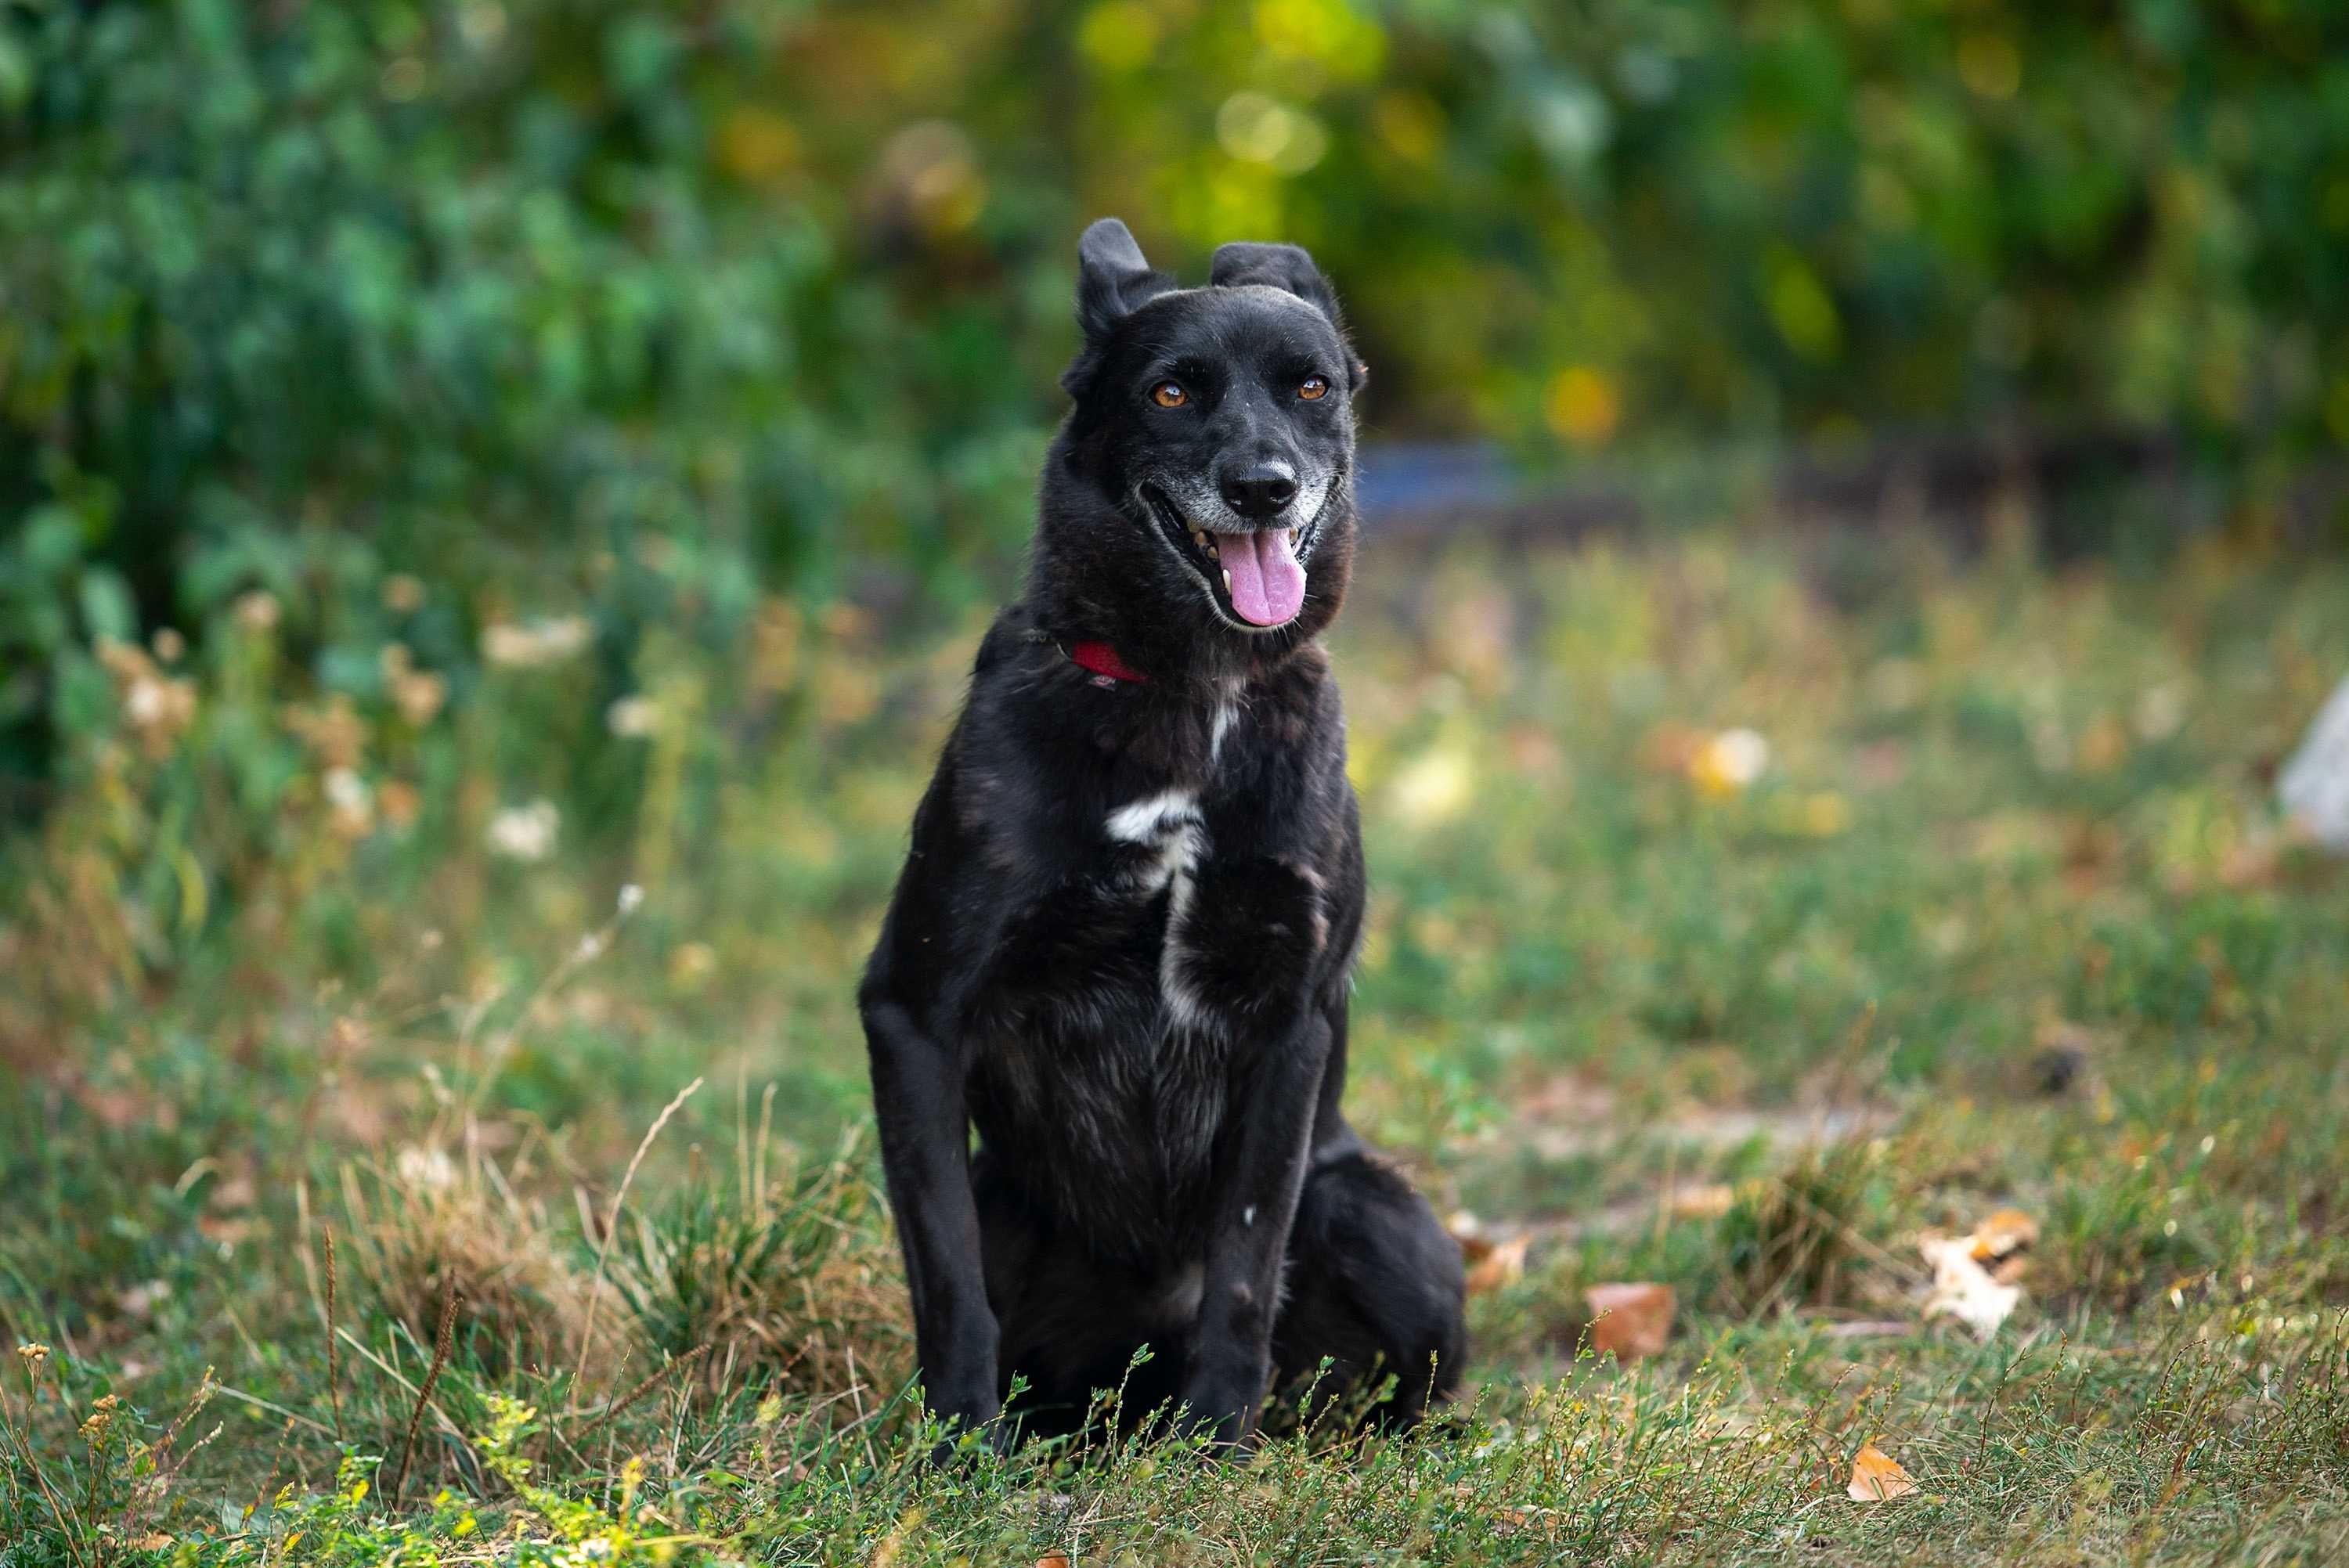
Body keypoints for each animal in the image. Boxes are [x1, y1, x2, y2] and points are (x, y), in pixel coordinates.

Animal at [855, 217, 1456, 1446]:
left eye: (1312, 386)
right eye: (1173, 391)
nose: (1263, 488)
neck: (1192, 694)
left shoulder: (1288, 1022)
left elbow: (1245, 1260)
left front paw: (1215, 1442)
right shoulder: (913, 1007)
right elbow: (948, 1275)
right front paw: (959, 1445)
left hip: (1375, 1207)